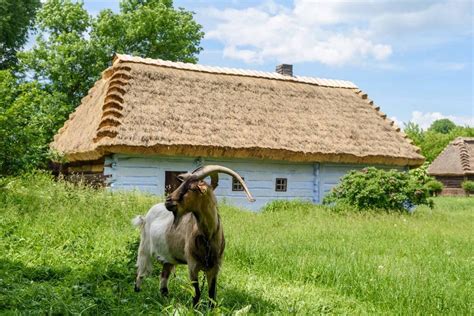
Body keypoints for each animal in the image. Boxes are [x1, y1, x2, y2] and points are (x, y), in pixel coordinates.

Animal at [131, 165, 254, 306]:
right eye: (182, 183)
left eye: (191, 188)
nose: (168, 201)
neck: (207, 237)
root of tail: (145, 217)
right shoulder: (192, 265)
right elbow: (196, 293)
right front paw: (194, 308)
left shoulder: (215, 267)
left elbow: (212, 295)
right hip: (144, 248)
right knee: (141, 272)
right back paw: (138, 293)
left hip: (168, 256)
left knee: (163, 278)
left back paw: (165, 299)